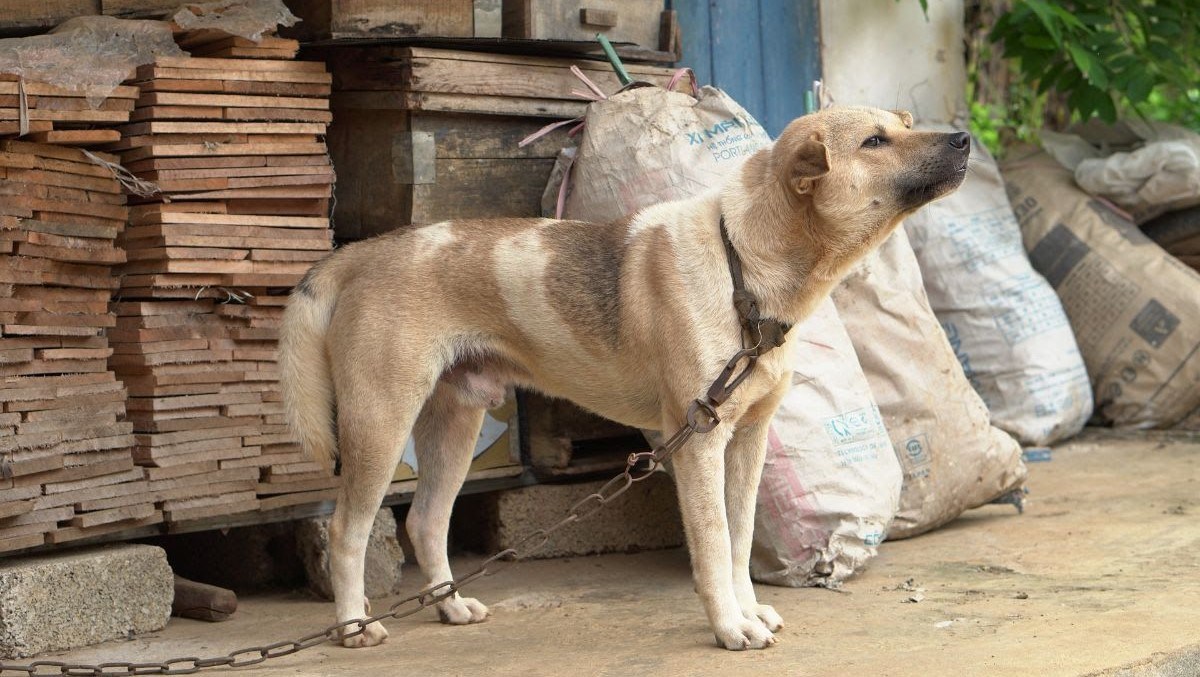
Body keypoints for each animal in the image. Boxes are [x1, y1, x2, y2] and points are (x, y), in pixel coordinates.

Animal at [276, 105, 969, 648]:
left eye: (906, 124)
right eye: (874, 141)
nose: (964, 138)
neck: (742, 266)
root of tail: (361, 253)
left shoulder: (747, 440)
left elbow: (741, 540)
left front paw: (748, 613)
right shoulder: (699, 443)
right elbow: (714, 544)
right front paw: (730, 628)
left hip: (456, 421)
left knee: (424, 521)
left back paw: (450, 606)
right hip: (381, 422)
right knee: (347, 530)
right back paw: (355, 627)